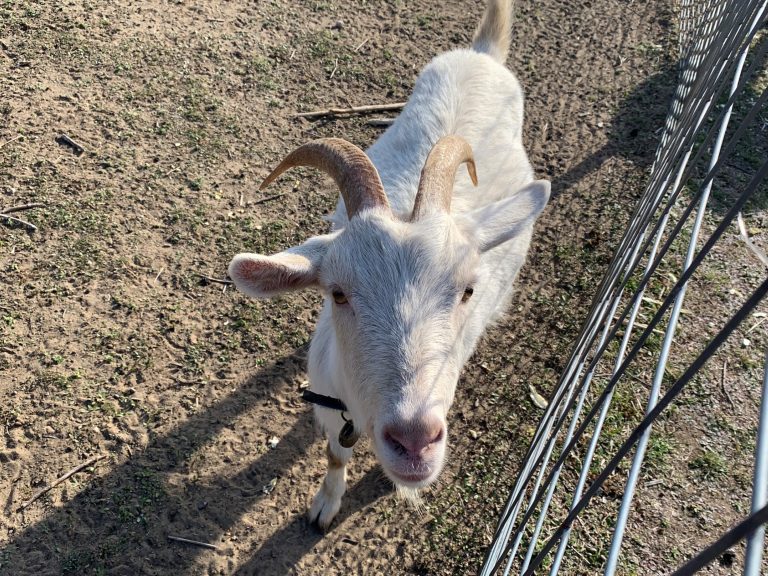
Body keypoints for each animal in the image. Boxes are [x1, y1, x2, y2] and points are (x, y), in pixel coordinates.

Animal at [225, 0, 548, 532]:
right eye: (337, 293)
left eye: (467, 290)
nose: (414, 441)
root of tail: (483, 55)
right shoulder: (330, 406)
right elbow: (335, 454)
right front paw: (325, 504)